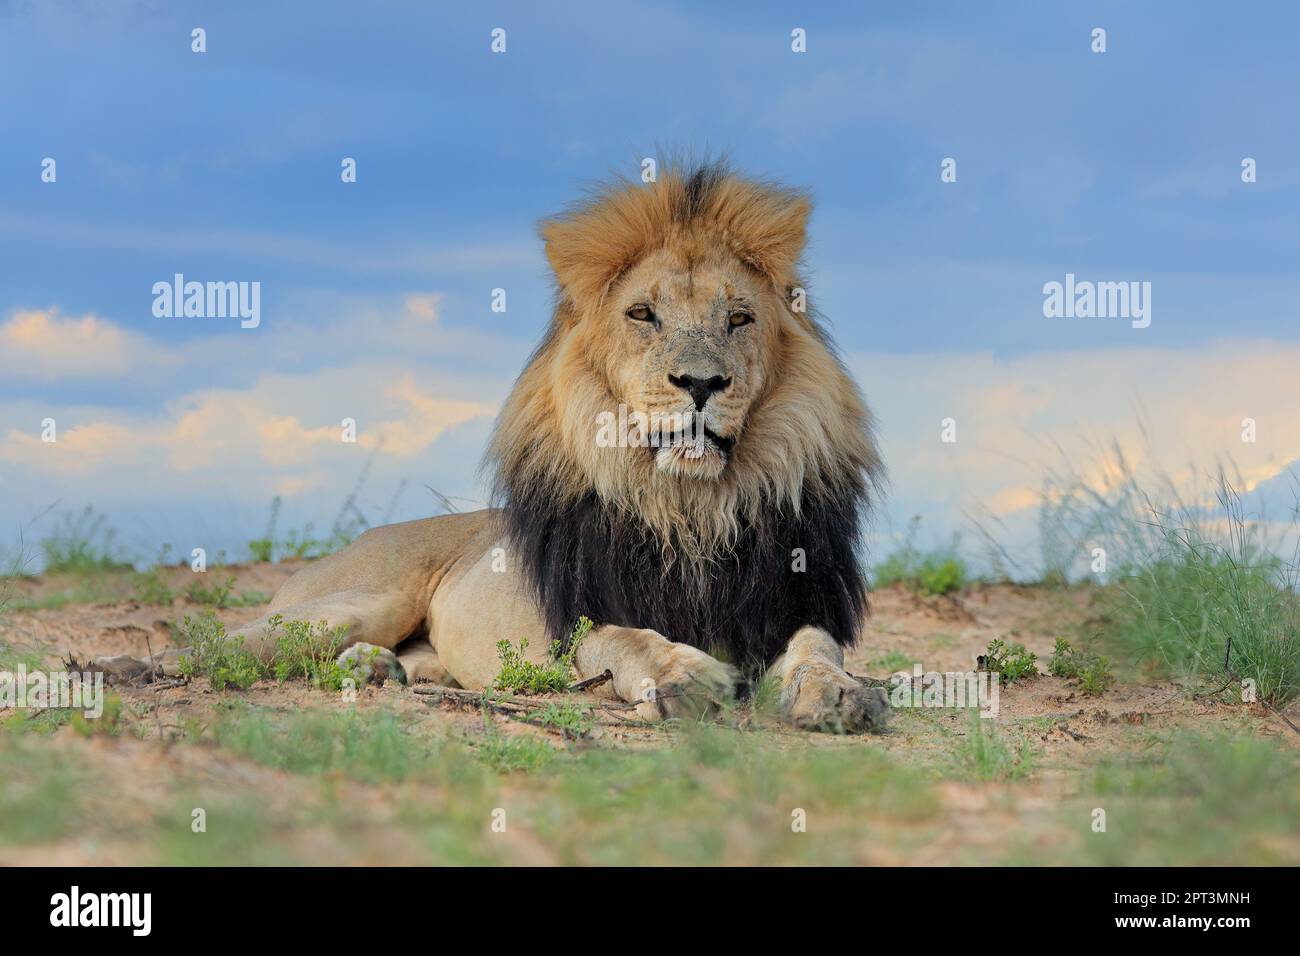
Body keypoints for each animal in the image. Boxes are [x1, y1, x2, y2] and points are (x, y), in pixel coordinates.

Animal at [124, 162, 894, 733]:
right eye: (643, 314)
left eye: (739, 318)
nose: (701, 383)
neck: (688, 508)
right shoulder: (574, 619)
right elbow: (627, 638)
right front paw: (685, 674)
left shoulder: (791, 604)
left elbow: (816, 645)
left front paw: (838, 691)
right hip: (350, 602)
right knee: (223, 642)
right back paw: (131, 667)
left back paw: (375, 670)